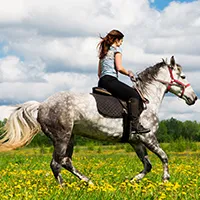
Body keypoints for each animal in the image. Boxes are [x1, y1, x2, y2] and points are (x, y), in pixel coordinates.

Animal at [0, 55, 197, 185]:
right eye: (183, 76)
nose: (193, 98)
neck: (147, 100)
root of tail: (41, 106)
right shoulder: (148, 137)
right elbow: (164, 156)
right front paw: (165, 180)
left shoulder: (136, 141)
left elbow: (147, 165)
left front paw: (132, 181)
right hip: (61, 137)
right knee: (56, 164)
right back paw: (64, 188)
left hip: (69, 137)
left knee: (65, 161)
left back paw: (89, 183)